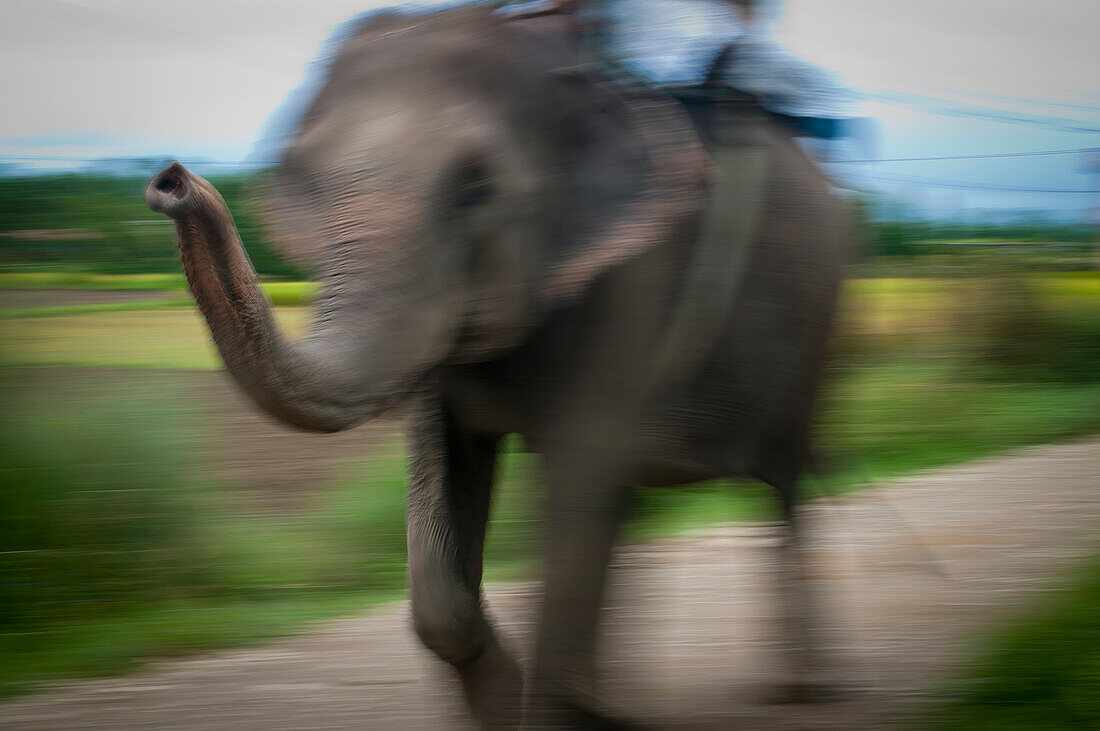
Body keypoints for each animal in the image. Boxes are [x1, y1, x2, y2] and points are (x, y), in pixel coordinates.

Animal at [146, 7, 844, 729]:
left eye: (476, 190)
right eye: (308, 175)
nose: (171, 180)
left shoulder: (633, 285)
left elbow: (576, 484)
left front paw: (544, 708)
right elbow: (445, 479)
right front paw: (515, 702)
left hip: (816, 322)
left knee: (784, 482)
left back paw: (801, 690)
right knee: (638, 501)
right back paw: (622, 705)